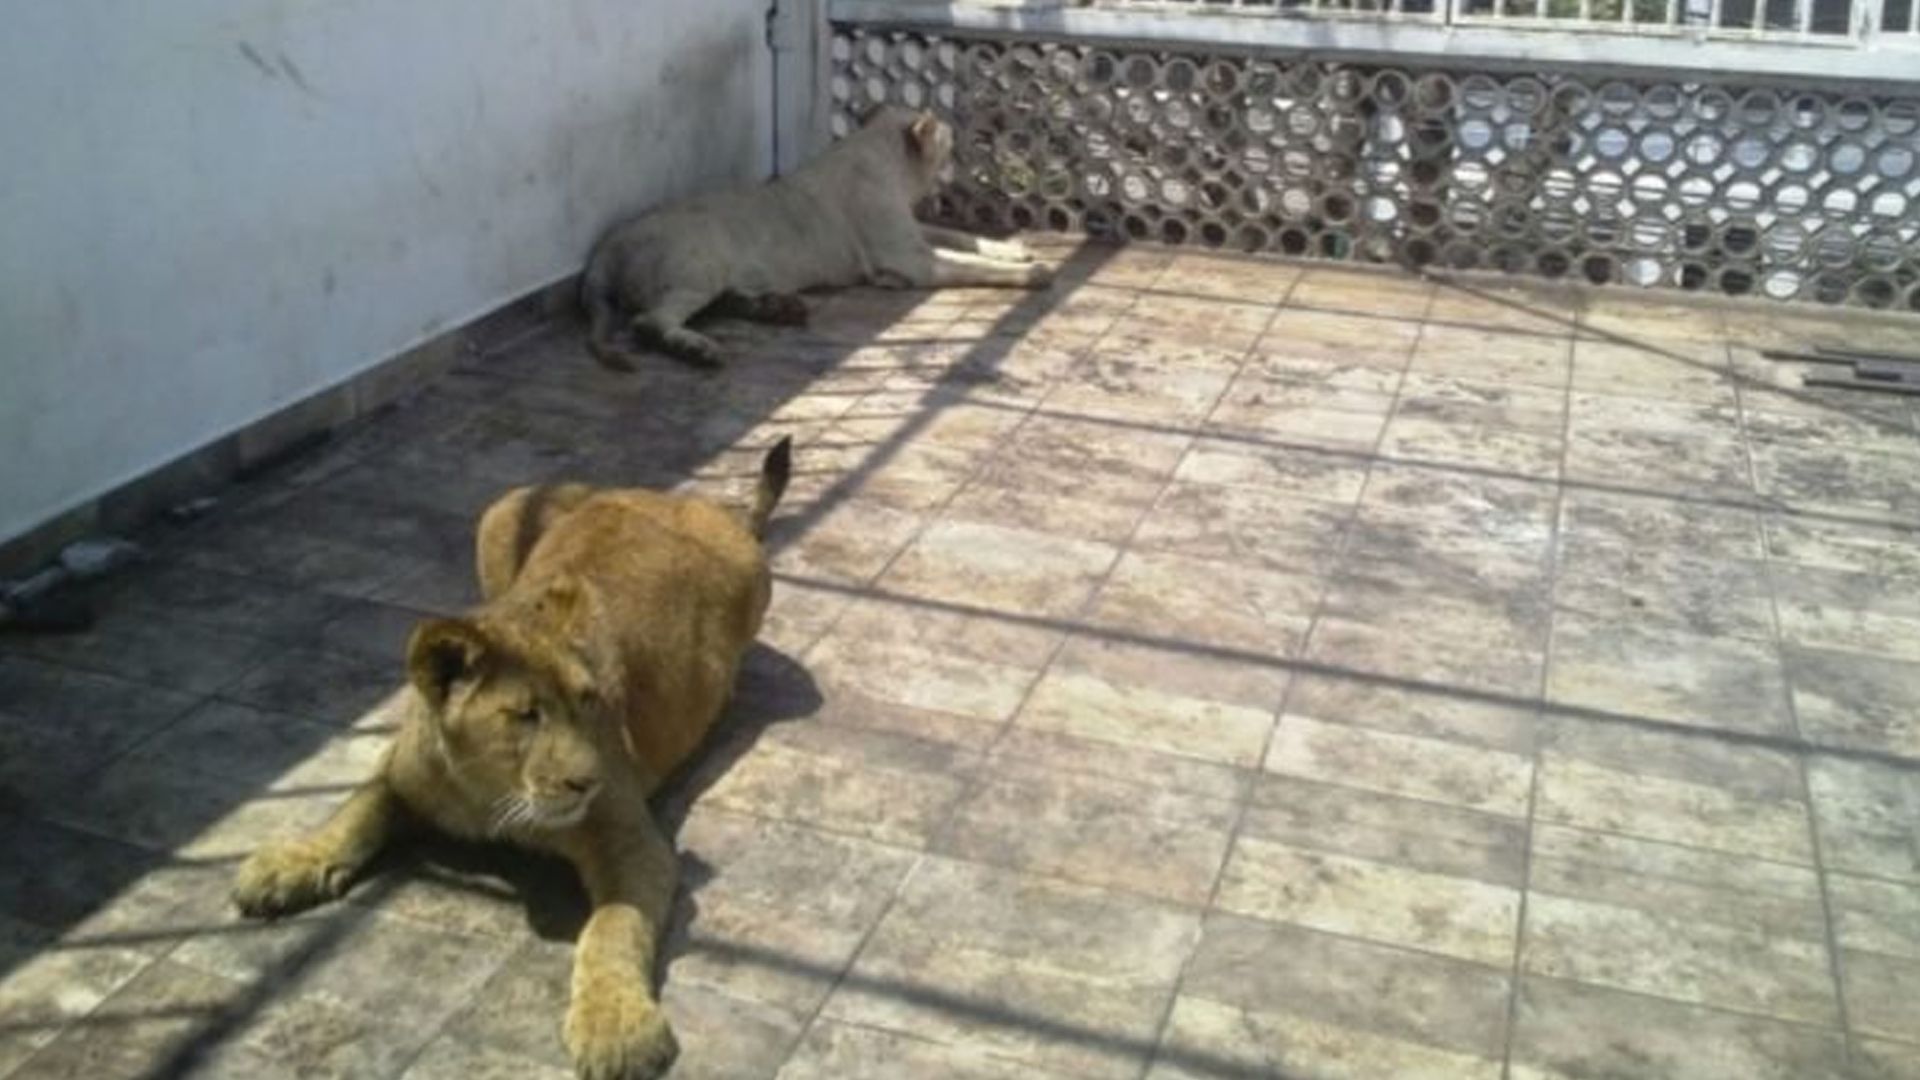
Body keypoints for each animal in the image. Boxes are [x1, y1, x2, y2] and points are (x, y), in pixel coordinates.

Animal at [231, 438, 794, 1080]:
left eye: (589, 700)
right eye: (526, 715)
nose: (587, 783)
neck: (486, 791)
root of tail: (705, 505)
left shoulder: (631, 840)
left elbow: (613, 925)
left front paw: (614, 1027)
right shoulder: (401, 772)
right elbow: (354, 811)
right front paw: (289, 863)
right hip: (505, 508)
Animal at [581, 106, 1051, 370]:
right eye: (950, 138)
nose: (973, 135)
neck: (882, 157)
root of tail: (605, 248)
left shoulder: (914, 234)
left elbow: (964, 238)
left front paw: (1014, 249)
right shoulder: (913, 260)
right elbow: (973, 264)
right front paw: (1033, 273)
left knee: (722, 305)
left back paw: (776, 309)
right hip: (700, 267)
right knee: (650, 322)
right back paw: (698, 349)